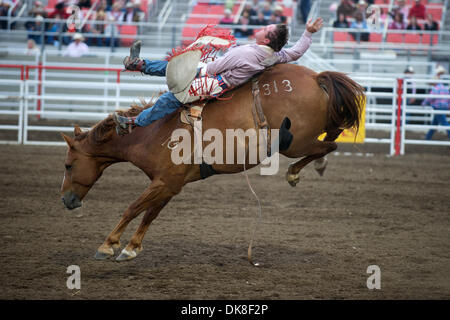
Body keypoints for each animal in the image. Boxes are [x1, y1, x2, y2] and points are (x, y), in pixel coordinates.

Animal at [59, 63, 364, 262]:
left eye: (68, 165)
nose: (66, 200)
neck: (151, 132)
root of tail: (316, 77)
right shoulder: (169, 184)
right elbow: (150, 214)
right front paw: (131, 248)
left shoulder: (164, 182)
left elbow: (132, 208)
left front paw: (107, 245)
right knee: (333, 134)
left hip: (295, 143)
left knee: (329, 144)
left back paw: (295, 172)